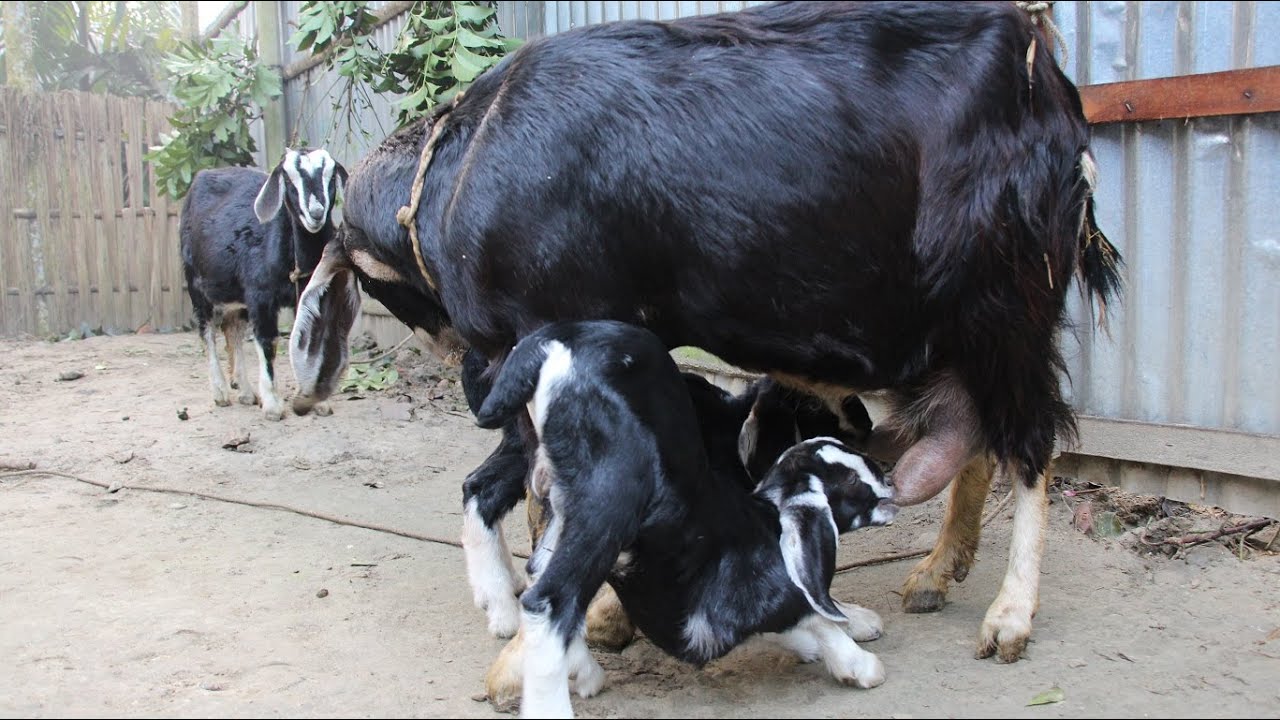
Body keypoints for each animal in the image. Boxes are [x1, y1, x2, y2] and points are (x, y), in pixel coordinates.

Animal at [180, 148, 347, 420]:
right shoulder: (260, 295)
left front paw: (317, 401)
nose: (316, 212)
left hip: (237, 295)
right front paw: (272, 405)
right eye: (289, 179)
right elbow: (267, 341)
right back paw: (221, 392)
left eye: (330, 176)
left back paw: (246, 392)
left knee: (233, 329)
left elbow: (309, 340)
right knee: (207, 331)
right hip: (196, 284)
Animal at [289, 0, 1123, 667]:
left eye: (367, 280)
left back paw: (1009, 617)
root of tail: (1043, 73)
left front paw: (592, 617)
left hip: (1008, 296)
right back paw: (936, 572)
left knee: (1032, 443)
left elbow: (558, 490)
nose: (463, 369)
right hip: (953, 326)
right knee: (975, 431)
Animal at [474, 320, 897, 718]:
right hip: (610, 496)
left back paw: (578, 667)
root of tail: (553, 345)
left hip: (559, 499)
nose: (891, 485)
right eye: (852, 481)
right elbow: (807, 608)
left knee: (537, 568)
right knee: (549, 599)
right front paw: (859, 661)